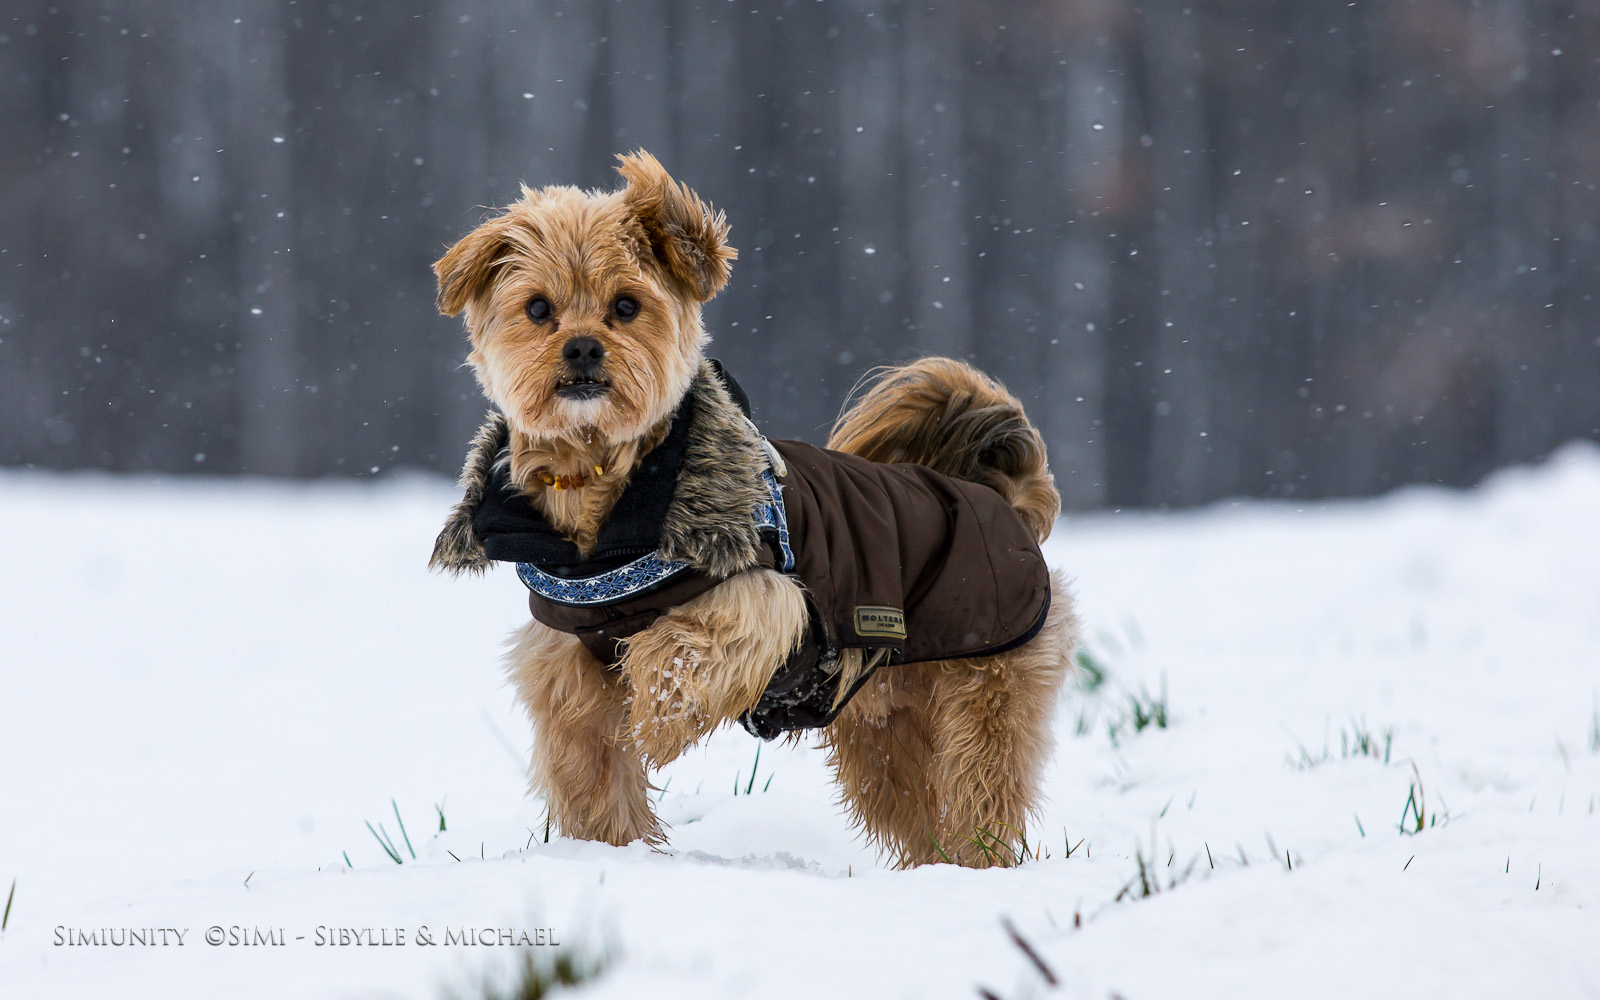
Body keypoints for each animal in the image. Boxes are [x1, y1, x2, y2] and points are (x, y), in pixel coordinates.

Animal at [428, 150, 1075, 864]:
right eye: (538, 309)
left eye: (626, 305)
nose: (582, 346)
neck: (605, 486)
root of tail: (1001, 498)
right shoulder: (566, 662)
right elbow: (590, 762)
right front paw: (607, 848)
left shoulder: (761, 596)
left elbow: (681, 649)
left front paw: (654, 723)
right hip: (884, 723)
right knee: (912, 800)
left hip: (985, 688)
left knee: (980, 788)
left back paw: (976, 861)